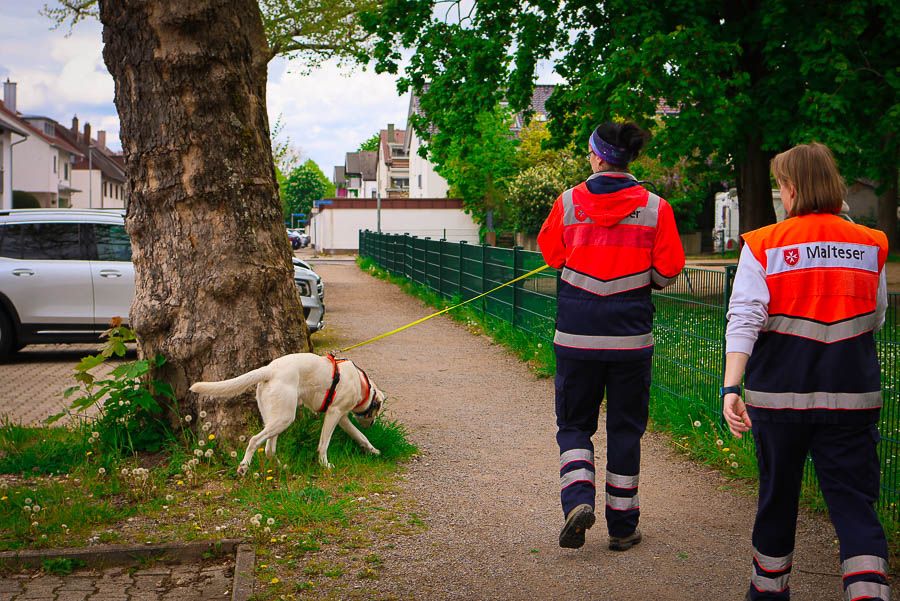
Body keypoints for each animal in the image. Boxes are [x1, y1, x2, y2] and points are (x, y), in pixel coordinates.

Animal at [188, 352, 384, 474]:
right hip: (285, 418)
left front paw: (373, 450)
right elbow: (323, 445)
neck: (362, 386)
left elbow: (360, 436)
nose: (373, 423)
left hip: (276, 417)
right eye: (375, 411)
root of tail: (269, 369)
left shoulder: (342, 418)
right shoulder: (334, 414)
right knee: (254, 441)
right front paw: (325, 465)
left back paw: (280, 467)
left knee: (269, 449)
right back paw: (244, 467)